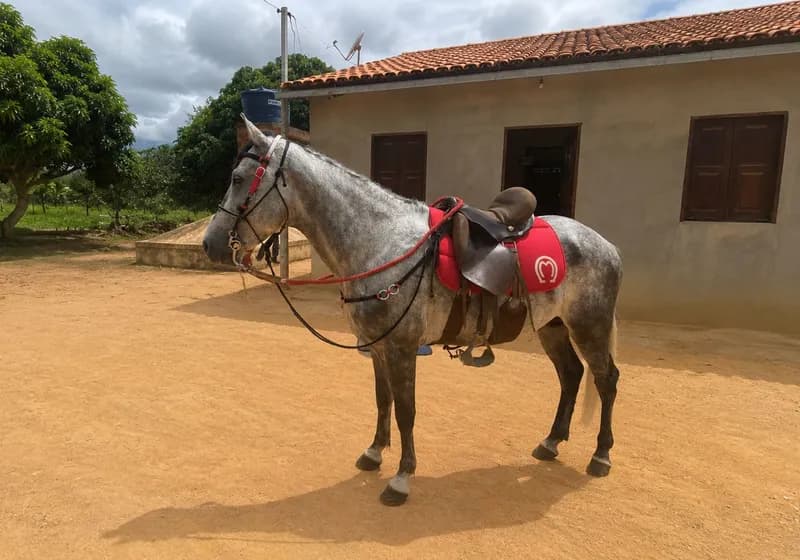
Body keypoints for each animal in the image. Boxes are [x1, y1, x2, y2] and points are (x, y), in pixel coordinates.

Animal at [203, 115, 622, 506]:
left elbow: (406, 409)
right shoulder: (378, 346)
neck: (381, 242)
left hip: (589, 325)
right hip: (553, 325)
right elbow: (382, 399)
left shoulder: (403, 347)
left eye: (238, 178)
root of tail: (606, 245)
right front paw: (374, 453)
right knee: (571, 376)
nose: (211, 244)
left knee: (605, 380)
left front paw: (401, 479)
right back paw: (550, 443)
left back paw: (600, 456)